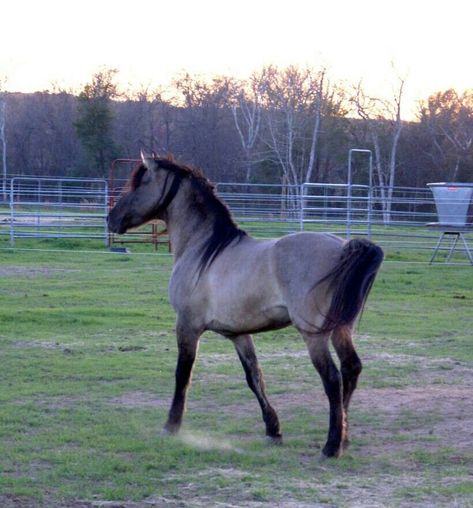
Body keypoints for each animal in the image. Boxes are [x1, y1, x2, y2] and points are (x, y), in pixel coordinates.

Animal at [108, 153, 384, 458]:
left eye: (140, 183)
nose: (110, 218)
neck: (203, 249)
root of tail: (344, 247)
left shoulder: (187, 326)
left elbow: (183, 374)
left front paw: (171, 425)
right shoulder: (238, 334)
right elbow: (254, 377)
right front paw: (273, 430)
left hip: (314, 335)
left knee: (333, 379)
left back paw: (331, 446)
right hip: (340, 330)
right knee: (351, 369)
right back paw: (344, 438)